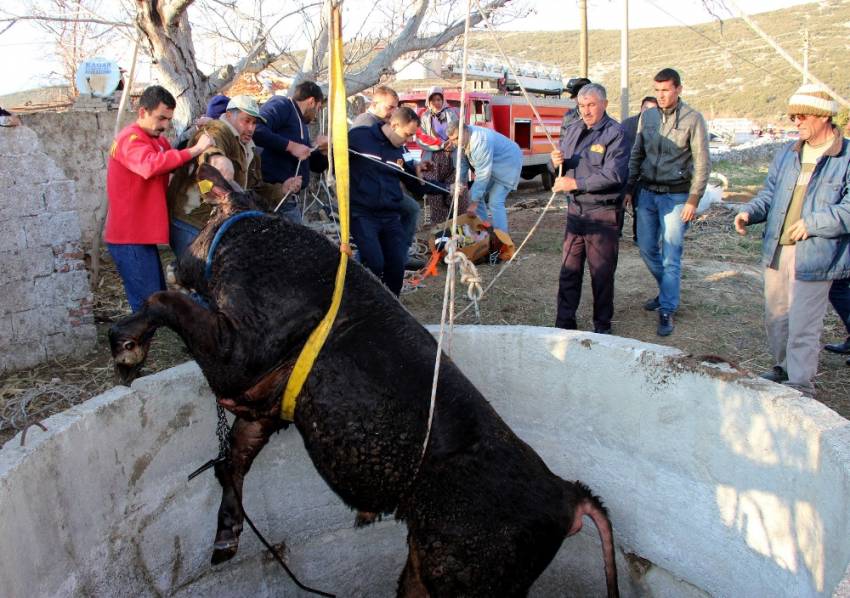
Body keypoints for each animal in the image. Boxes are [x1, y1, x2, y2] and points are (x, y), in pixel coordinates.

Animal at [111, 165, 616, 598]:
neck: (250, 246)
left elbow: (164, 300)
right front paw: (223, 548)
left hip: (465, 574)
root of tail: (568, 494)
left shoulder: (241, 357)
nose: (176, 259)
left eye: (210, 217)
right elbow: (233, 460)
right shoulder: (263, 405)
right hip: (423, 566)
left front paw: (126, 358)